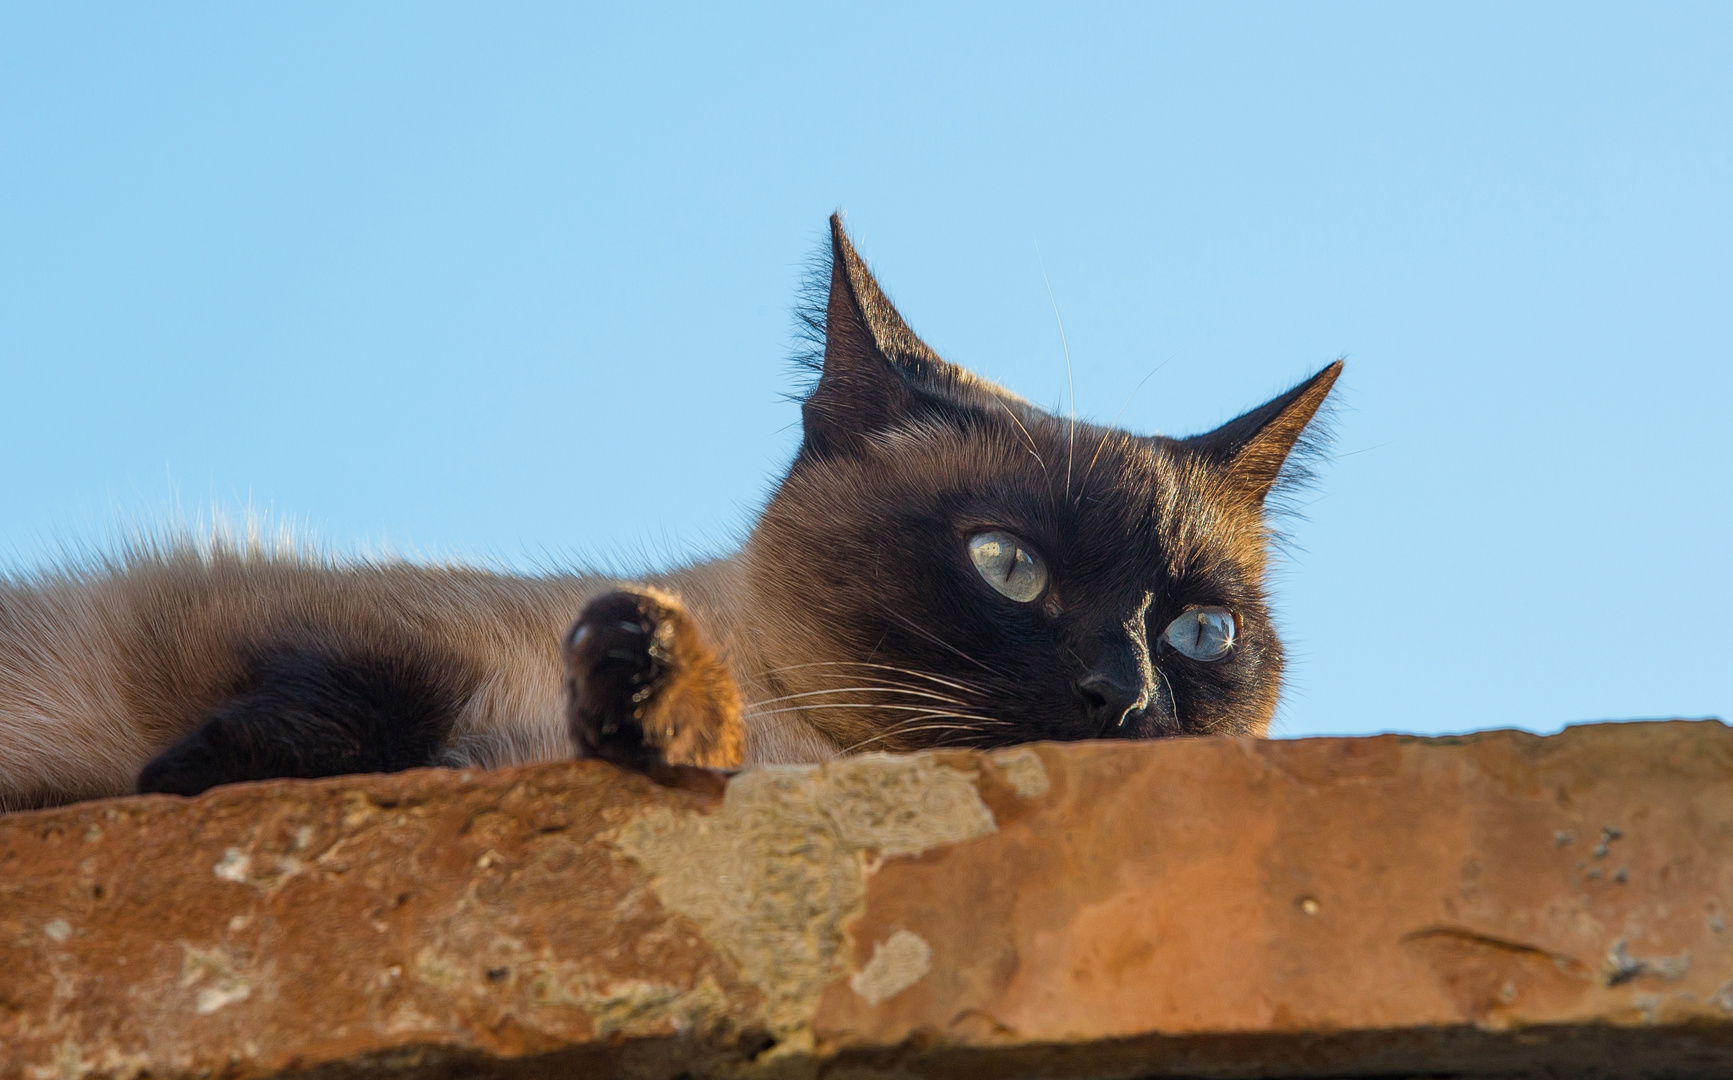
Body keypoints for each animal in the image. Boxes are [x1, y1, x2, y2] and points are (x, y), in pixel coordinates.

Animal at [0, 217, 1337, 811]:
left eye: (1197, 635)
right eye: (1005, 566)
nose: (1123, 695)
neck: (808, 753)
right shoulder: (289, 611)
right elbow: (351, 698)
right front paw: (181, 775)